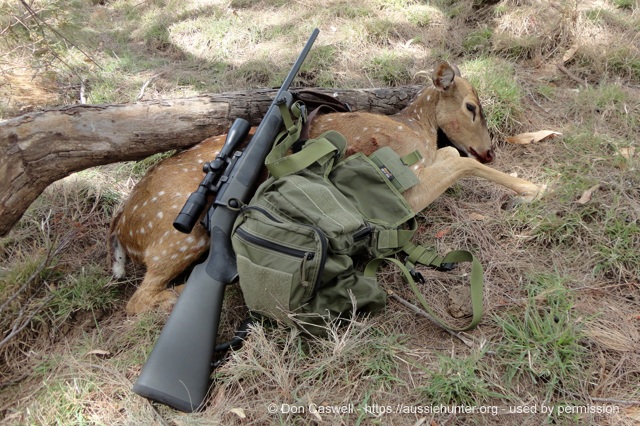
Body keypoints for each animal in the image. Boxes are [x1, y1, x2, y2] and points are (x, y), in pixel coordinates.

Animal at [109, 62, 540, 312]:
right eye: (471, 106)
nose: (490, 151)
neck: (417, 131)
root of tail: (122, 228)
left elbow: (453, 157)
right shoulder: (403, 184)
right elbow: (460, 162)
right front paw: (535, 187)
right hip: (178, 234)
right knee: (136, 303)